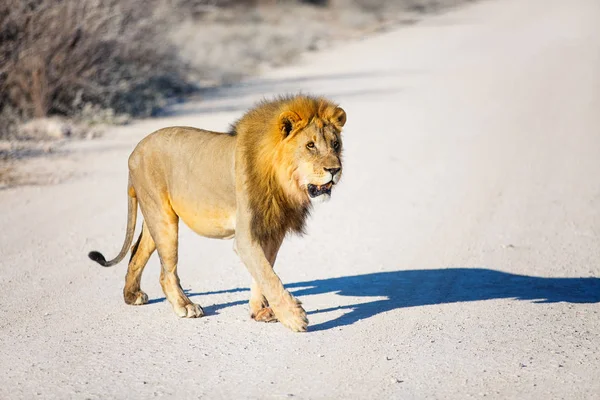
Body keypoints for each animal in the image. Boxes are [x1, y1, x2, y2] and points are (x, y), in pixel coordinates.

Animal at [86, 94, 344, 332]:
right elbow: (268, 275)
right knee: (166, 272)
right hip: (162, 219)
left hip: (155, 218)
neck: (282, 179)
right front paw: (293, 316)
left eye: (335, 145)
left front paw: (259, 311)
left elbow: (263, 271)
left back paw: (131, 295)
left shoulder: (273, 230)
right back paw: (185, 306)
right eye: (310, 145)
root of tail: (135, 152)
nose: (335, 169)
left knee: (136, 252)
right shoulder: (246, 236)